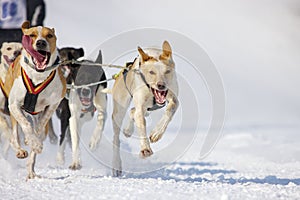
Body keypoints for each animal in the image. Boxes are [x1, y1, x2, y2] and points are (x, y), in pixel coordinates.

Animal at [3, 21, 65, 179]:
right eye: (32, 35)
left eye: (49, 35)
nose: (41, 42)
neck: (38, 76)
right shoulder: (14, 105)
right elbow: (25, 125)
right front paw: (32, 140)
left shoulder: (53, 104)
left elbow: (38, 129)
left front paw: (35, 141)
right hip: (12, 113)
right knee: (14, 136)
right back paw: (20, 149)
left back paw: (31, 170)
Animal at [112, 41, 178, 177]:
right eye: (151, 72)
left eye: (167, 71)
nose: (161, 85)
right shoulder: (141, 106)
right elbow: (141, 125)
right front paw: (145, 149)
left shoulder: (173, 97)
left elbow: (172, 108)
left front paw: (157, 132)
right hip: (119, 111)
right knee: (116, 138)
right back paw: (116, 165)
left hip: (147, 109)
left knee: (133, 111)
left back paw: (128, 130)